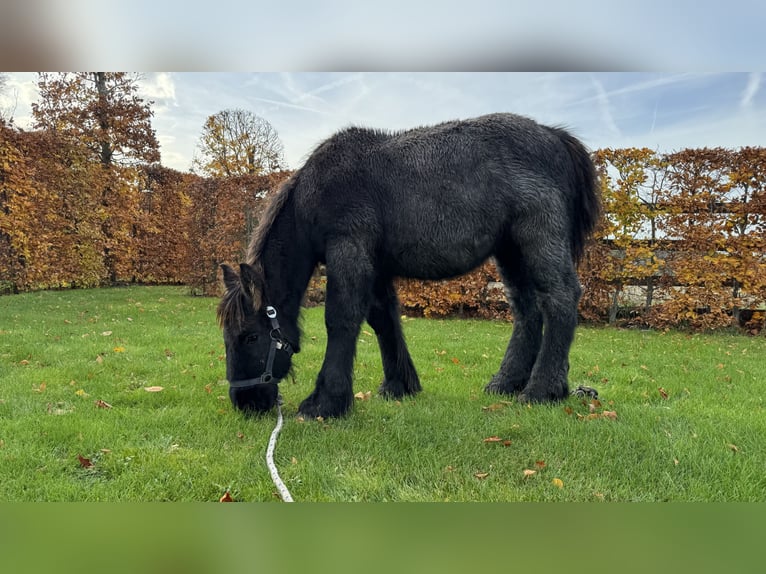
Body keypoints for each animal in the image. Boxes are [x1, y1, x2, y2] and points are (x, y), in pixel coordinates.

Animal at [219, 113, 604, 418]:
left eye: (250, 336)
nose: (245, 402)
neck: (313, 194)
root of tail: (554, 135)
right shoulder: (375, 266)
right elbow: (383, 320)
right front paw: (399, 385)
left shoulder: (349, 250)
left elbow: (342, 319)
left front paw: (326, 402)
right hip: (510, 252)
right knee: (527, 309)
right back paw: (507, 382)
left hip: (538, 240)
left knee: (560, 298)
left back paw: (542, 389)